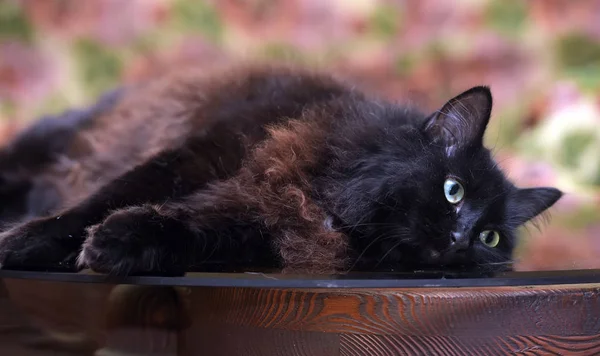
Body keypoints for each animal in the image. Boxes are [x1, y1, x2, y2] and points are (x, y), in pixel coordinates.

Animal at [0, 63, 564, 276]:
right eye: (452, 191)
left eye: (491, 238)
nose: (461, 238)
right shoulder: (198, 154)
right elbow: (96, 203)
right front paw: (22, 244)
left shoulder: (250, 226)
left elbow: (180, 228)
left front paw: (119, 244)